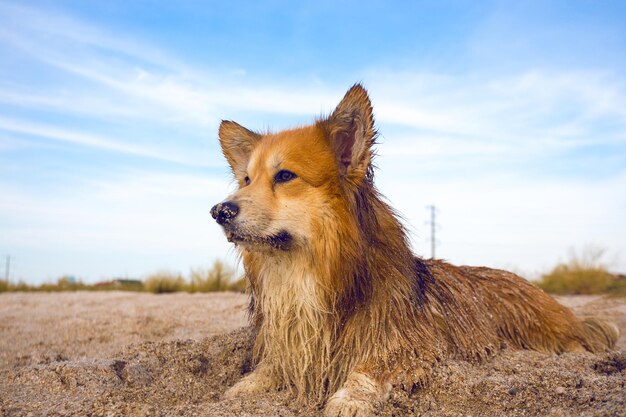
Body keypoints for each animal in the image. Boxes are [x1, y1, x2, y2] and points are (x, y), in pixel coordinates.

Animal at [208, 84, 616, 416]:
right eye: (246, 180)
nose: (218, 212)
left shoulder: (406, 345)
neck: (310, 273)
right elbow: (269, 368)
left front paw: (347, 401)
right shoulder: (291, 343)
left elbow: (367, 370)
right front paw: (240, 388)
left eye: (285, 176)